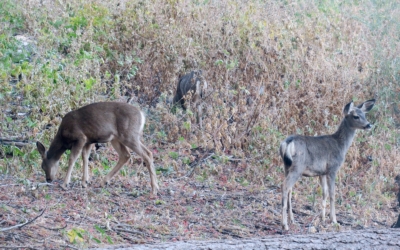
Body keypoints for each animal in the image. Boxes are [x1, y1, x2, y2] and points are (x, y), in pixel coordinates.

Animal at [278, 99, 376, 230]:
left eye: (364, 115)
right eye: (356, 116)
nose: (369, 125)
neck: (341, 145)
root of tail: (288, 142)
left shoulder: (322, 172)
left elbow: (324, 193)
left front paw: (323, 218)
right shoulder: (332, 168)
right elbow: (332, 194)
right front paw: (333, 219)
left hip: (287, 166)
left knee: (289, 189)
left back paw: (292, 220)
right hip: (298, 167)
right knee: (285, 186)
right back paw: (285, 225)